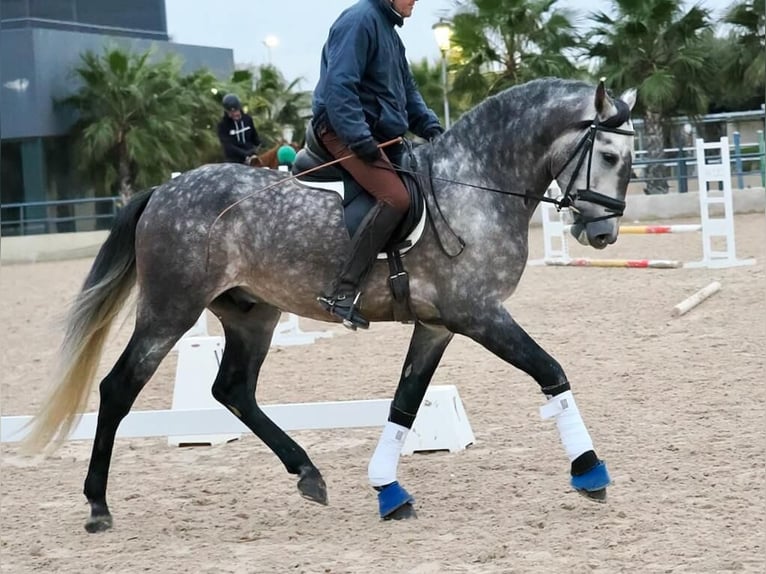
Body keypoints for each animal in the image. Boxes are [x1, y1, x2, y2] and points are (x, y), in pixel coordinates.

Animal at [24, 77, 636, 536]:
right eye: (608, 154)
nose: (603, 234)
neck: (474, 186)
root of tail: (161, 192)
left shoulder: (438, 326)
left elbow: (405, 404)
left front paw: (389, 491)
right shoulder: (479, 315)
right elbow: (550, 371)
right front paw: (590, 472)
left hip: (252, 314)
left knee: (233, 390)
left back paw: (308, 473)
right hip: (170, 311)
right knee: (118, 389)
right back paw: (97, 506)